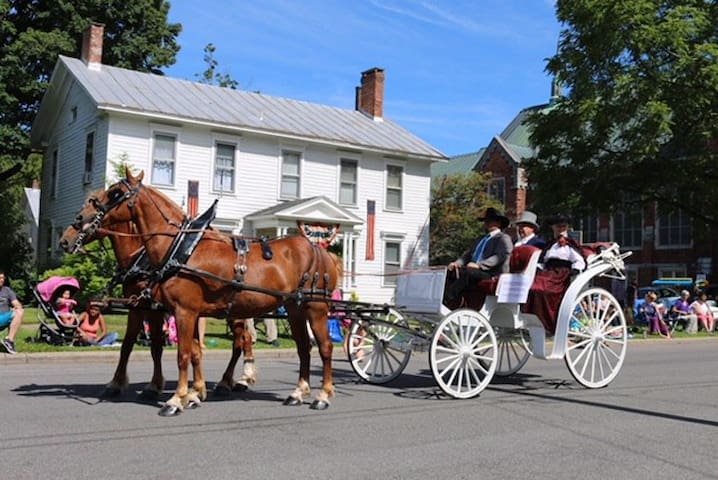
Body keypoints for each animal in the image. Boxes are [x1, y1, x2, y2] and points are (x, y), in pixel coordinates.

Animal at [63, 170, 342, 416]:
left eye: (115, 193)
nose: (72, 228)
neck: (177, 248)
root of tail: (320, 249)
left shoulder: (178, 310)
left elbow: (178, 353)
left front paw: (174, 399)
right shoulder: (167, 309)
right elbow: (182, 350)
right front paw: (193, 393)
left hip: (315, 308)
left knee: (324, 347)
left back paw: (322, 395)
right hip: (294, 309)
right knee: (300, 347)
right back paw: (296, 392)